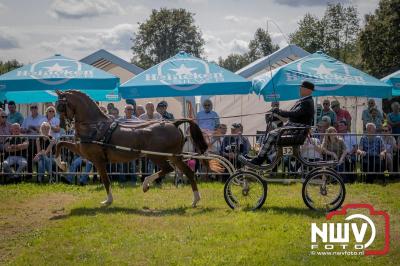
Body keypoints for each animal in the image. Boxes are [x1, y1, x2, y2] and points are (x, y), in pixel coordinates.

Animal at [54, 90, 217, 207]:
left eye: (60, 106)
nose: (62, 125)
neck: (94, 126)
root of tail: (174, 123)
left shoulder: (97, 160)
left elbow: (106, 180)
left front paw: (108, 201)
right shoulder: (82, 150)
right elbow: (60, 144)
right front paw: (62, 164)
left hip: (157, 156)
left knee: (168, 169)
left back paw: (146, 184)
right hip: (174, 156)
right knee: (188, 172)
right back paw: (195, 200)